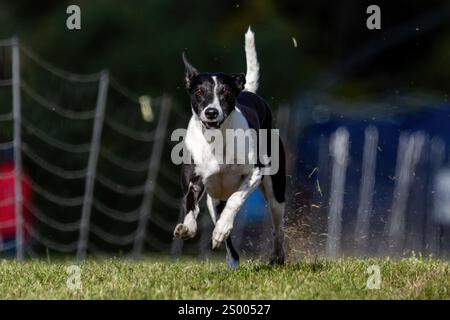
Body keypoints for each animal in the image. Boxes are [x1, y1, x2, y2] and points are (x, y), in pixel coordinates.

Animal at [172, 26, 284, 268]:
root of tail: (249, 91)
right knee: (228, 239)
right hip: (214, 200)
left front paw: (222, 228)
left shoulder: (255, 174)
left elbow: (235, 200)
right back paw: (232, 261)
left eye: (226, 92)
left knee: (277, 225)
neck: (217, 140)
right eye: (198, 92)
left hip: (276, 191)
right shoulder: (194, 179)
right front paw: (188, 227)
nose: (211, 112)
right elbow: (190, 203)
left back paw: (278, 256)